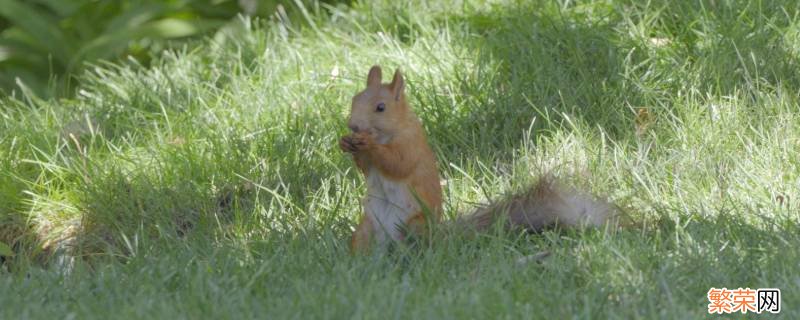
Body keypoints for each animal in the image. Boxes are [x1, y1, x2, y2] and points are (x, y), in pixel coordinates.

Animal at [338, 65, 612, 252]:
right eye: (354, 99)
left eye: (381, 107)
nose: (353, 125)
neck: (392, 130)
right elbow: (366, 168)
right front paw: (346, 144)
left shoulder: (411, 144)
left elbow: (397, 164)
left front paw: (369, 145)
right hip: (365, 229)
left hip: (414, 225)